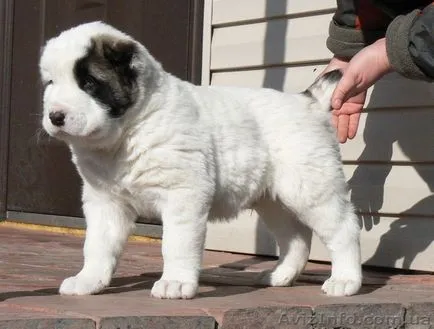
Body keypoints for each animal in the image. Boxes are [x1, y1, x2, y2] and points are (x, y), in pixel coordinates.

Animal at [39, 20, 362, 298]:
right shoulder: (105, 201)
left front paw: (175, 283)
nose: (55, 116)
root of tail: (308, 100)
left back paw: (345, 281)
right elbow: (97, 244)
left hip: (311, 186)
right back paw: (280, 275)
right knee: (296, 237)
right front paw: (88, 280)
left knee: (343, 228)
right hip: (273, 199)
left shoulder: (182, 194)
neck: (130, 130)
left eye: (89, 83)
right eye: (51, 83)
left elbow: (177, 244)